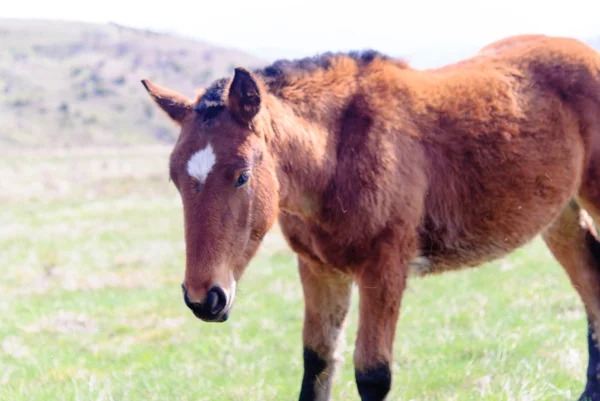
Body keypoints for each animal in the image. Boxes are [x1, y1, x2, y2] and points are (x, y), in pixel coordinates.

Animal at [143, 35, 600, 400]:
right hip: (558, 216)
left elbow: (373, 375)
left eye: (241, 175)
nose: (204, 299)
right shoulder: (319, 270)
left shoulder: (385, 269)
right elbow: (317, 364)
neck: (338, 155)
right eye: (174, 178)